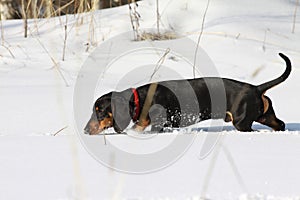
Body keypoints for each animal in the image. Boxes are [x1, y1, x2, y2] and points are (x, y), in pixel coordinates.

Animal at [84, 53, 290, 134]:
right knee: (280, 124)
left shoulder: (158, 125)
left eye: (99, 111)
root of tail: (256, 87)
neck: (140, 99)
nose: (85, 130)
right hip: (264, 115)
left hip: (242, 123)